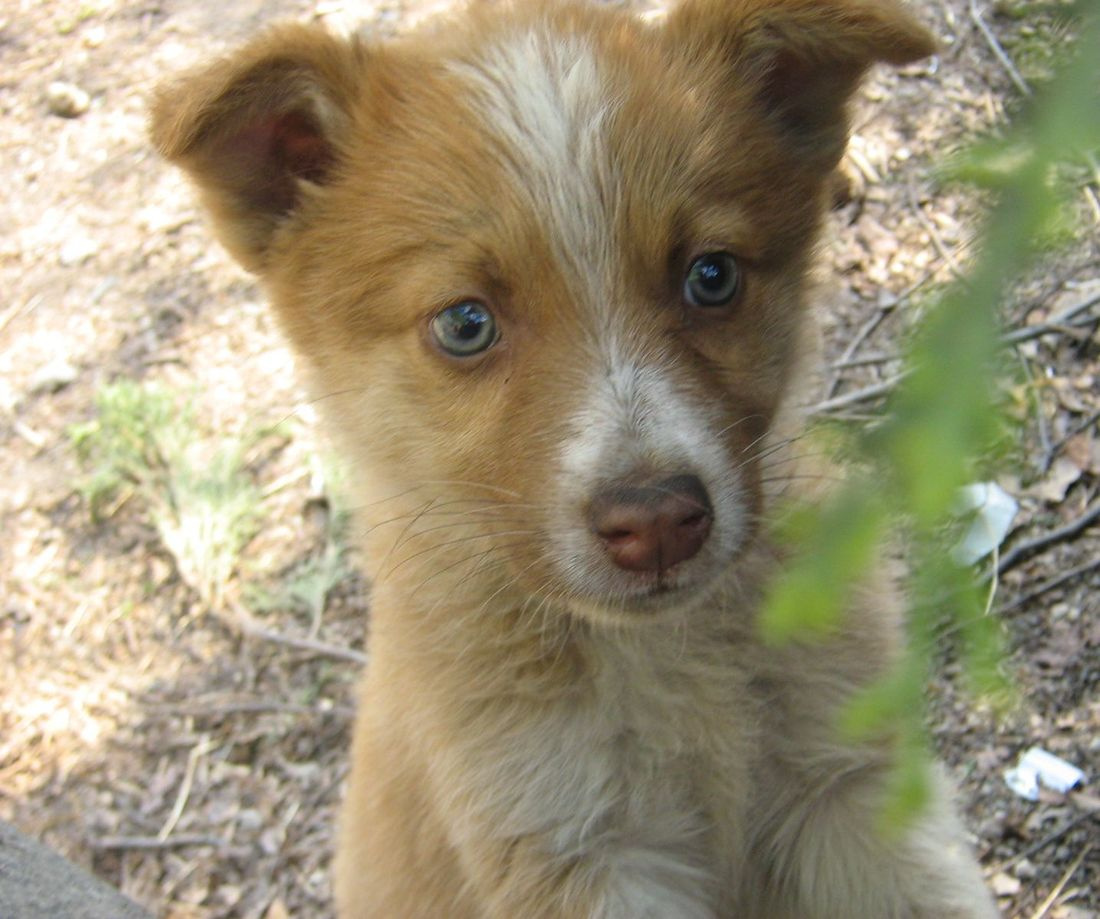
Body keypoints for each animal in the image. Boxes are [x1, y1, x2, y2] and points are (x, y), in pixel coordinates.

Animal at [150, 3, 1003, 915]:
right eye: (465, 324)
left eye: (711, 275)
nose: (657, 521)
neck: (672, 661)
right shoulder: (571, 843)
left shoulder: (847, 777)